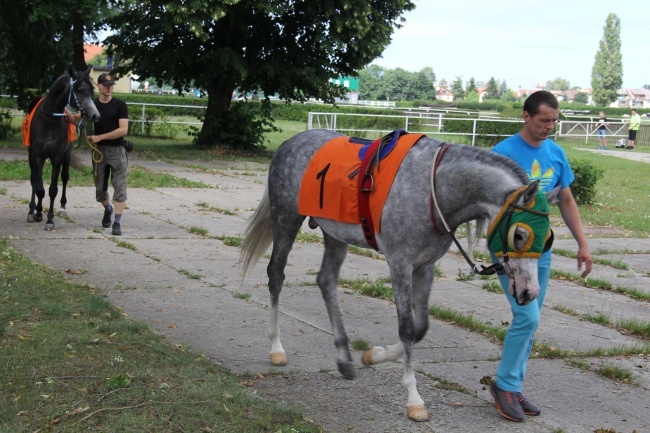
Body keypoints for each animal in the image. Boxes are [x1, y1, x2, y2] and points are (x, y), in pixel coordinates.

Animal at [25, 65, 100, 230]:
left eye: (92, 91)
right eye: (79, 89)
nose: (95, 115)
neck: (49, 119)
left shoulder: (58, 156)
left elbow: (53, 189)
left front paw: (49, 219)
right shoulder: (37, 155)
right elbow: (39, 187)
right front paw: (37, 213)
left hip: (66, 155)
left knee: (65, 178)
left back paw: (62, 207)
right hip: (31, 156)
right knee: (33, 179)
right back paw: (31, 211)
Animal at [238, 127, 552, 418]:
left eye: (548, 237)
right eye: (520, 235)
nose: (530, 292)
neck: (434, 189)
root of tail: (290, 142)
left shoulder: (425, 266)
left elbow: (421, 328)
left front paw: (374, 356)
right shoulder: (400, 264)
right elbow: (407, 328)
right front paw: (414, 399)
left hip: (335, 233)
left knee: (326, 280)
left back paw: (344, 357)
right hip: (286, 219)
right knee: (276, 275)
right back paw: (276, 348)